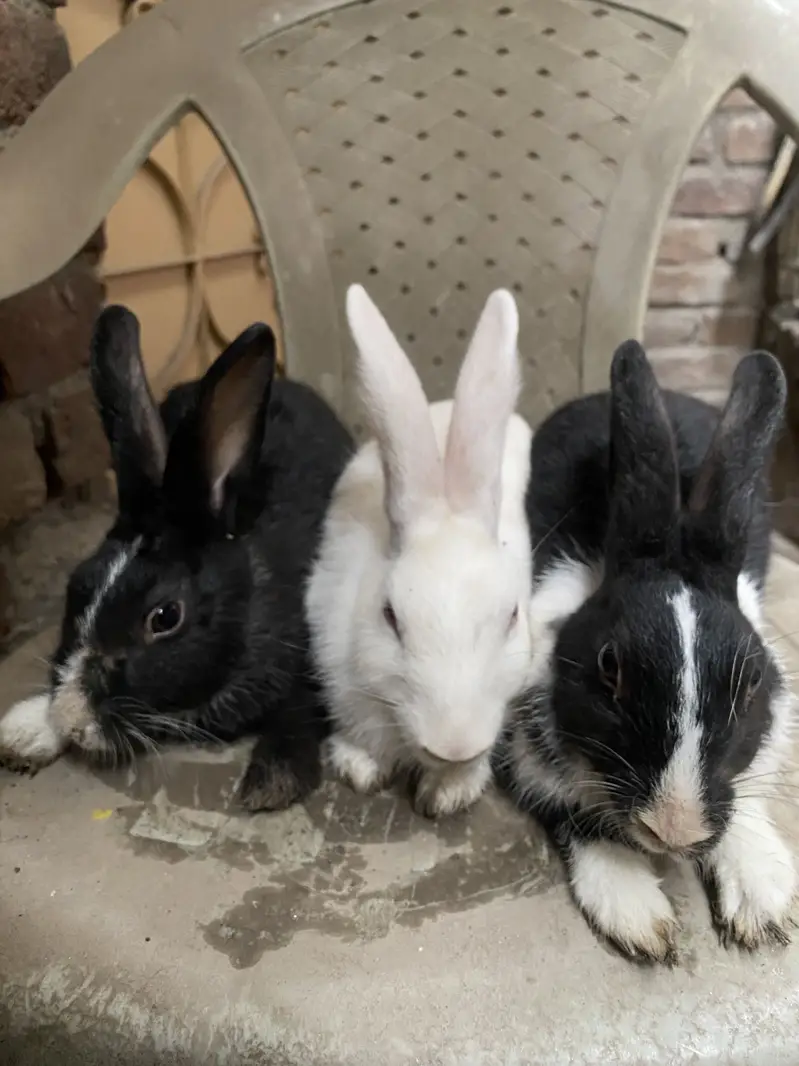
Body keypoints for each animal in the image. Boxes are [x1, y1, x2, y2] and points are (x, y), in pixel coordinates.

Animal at [0, 305, 353, 811]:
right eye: (77, 586)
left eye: (164, 617)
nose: (72, 719)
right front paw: (27, 730)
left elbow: (301, 709)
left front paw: (272, 780)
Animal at [498, 340, 795, 963]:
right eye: (609, 670)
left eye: (753, 683)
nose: (674, 829)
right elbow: (578, 816)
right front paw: (638, 915)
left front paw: (762, 899)